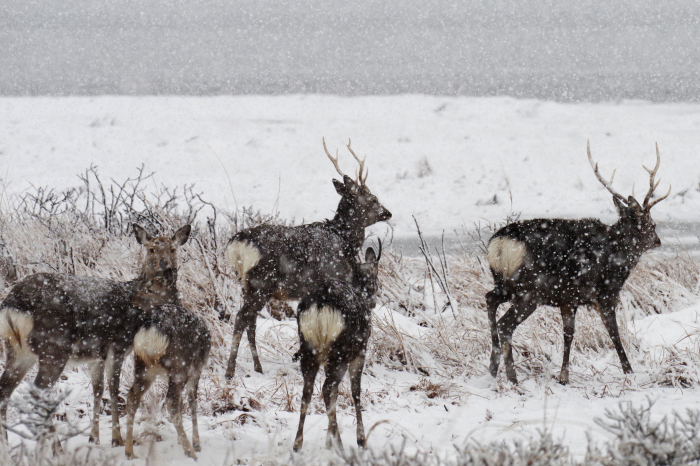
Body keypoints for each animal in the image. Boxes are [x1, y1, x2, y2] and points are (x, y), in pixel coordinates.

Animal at [0, 224, 191, 446]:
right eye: (151, 249)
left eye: (173, 249)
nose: (165, 265)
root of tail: (13, 305)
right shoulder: (118, 345)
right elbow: (114, 388)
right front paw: (117, 438)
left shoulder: (95, 355)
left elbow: (98, 390)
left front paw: (94, 437)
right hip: (54, 348)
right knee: (39, 395)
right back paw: (57, 448)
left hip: (17, 351)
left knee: (4, 391)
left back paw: (7, 445)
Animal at [124, 274, 211, 460]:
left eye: (149, 289)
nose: (132, 299)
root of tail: (153, 327)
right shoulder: (197, 369)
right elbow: (193, 402)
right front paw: (196, 443)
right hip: (179, 367)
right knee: (171, 402)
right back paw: (190, 451)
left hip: (143, 367)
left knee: (132, 396)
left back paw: (129, 451)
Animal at [226, 139, 394, 378]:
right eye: (373, 198)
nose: (387, 212)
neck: (344, 242)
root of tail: (238, 245)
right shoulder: (334, 278)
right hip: (261, 282)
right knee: (242, 317)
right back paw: (230, 370)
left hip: (249, 285)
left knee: (250, 321)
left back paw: (258, 367)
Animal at [294, 240, 386, 452]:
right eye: (376, 279)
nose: (375, 301)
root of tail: (321, 305)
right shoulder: (360, 351)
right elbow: (355, 391)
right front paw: (360, 440)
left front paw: (328, 441)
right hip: (340, 352)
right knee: (327, 389)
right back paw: (341, 445)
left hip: (309, 347)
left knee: (308, 391)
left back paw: (298, 443)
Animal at [486, 144, 672, 384]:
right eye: (652, 223)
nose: (657, 240)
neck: (617, 252)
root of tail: (500, 244)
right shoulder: (605, 292)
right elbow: (613, 332)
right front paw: (629, 371)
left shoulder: (568, 298)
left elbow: (568, 334)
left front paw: (563, 376)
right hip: (529, 291)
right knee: (505, 324)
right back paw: (512, 377)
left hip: (504, 283)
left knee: (490, 299)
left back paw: (493, 366)